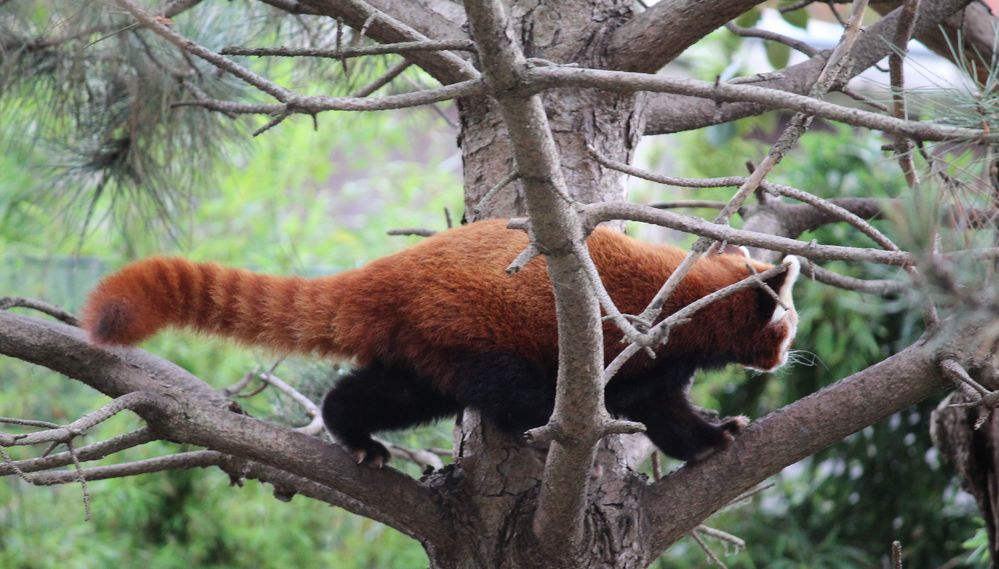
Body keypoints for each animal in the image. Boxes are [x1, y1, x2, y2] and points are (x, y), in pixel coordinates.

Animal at [86, 220, 804, 464]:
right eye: (787, 327)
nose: (785, 358)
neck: (687, 300)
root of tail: (391, 272)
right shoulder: (637, 342)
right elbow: (649, 408)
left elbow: (667, 414)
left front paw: (716, 432)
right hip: (468, 329)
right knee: (510, 392)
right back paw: (534, 429)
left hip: (422, 351)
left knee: (381, 394)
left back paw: (356, 436)